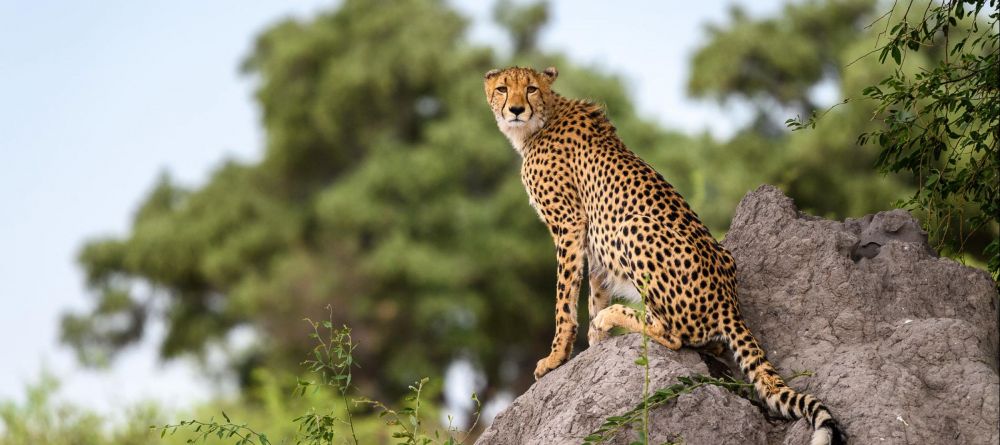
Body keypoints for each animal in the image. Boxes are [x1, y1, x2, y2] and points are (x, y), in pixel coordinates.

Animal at [484, 67, 844, 444]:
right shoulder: (591, 236)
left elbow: (564, 299)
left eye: (531, 88)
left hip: (632, 226)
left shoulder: (570, 224)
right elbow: (594, 289)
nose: (516, 110)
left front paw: (556, 357)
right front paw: (594, 344)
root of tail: (729, 300)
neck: (542, 119)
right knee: (710, 345)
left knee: (674, 335)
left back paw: (614, 317)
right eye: (502, 88)